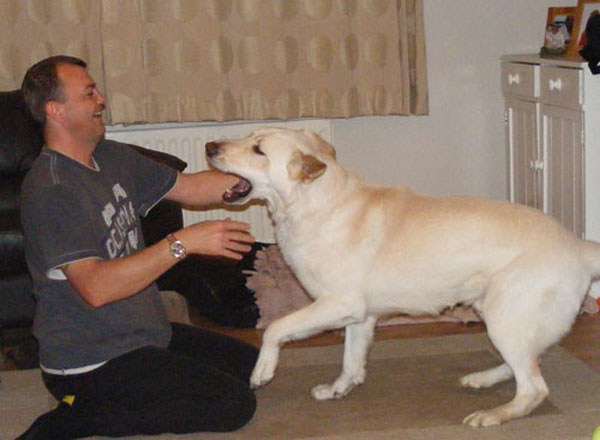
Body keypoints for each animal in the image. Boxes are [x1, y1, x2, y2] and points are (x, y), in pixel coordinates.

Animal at [205, 126, 600, 426]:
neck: (314, 205)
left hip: (505, 316)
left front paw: (262, 371)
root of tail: (577, 244)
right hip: (497, 312)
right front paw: (339, 389)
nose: (209, 146)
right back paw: (482, 379)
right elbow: (351, 361)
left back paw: (493, 415)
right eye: (250, 137)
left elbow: (275, 328)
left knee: (534, 386)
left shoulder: (339, 304)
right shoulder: (359, 316)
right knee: (530, 361)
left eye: (258, 149)